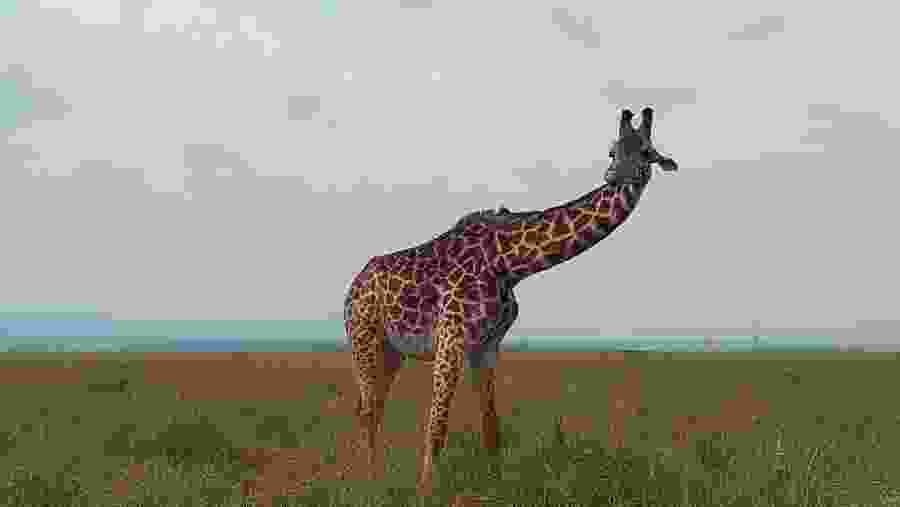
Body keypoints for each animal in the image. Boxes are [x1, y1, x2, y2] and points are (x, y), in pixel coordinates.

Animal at [343, 107, 677, 489]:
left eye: (646, 153)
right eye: (612, 152)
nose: (616, 176)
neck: (508, 263)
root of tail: (353, 287)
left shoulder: (486, 346)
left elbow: (492, 428)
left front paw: (495, 485)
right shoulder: (451, 338)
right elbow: (436, 426)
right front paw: (426, 491)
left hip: (391, 351)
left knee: (371, 409)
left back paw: (374, 479)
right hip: (364, 338)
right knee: (367, 411)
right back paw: (368, 484)